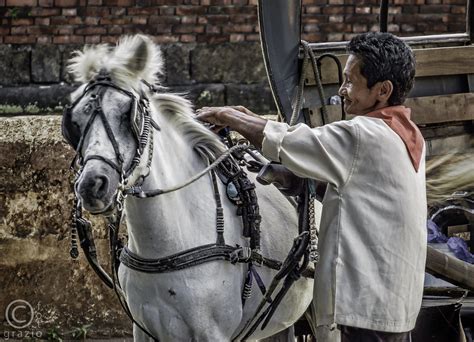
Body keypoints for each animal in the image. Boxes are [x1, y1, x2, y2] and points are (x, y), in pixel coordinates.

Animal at [63, 34, 314, 342]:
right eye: (75, 122)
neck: (168, 246)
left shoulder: (213, 334)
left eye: (127, 114)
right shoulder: (143, 330)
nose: (92, 184)